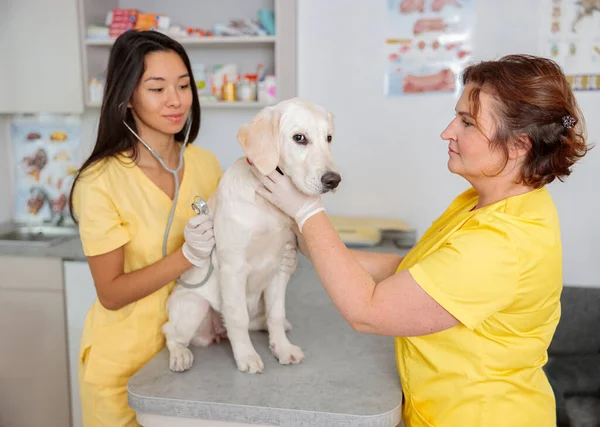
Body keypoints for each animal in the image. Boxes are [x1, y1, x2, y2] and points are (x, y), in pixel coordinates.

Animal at [162, 98, 340, 374]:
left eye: (329, 138)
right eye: (299, 138)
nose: (334, 180)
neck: (267, 207)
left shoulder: (280, 266)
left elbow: (276, 314)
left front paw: (282, 348)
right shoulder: (233, 268)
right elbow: (237, 317)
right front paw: (246, 356)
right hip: (193, 305)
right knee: (170, 332)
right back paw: (180, 354)